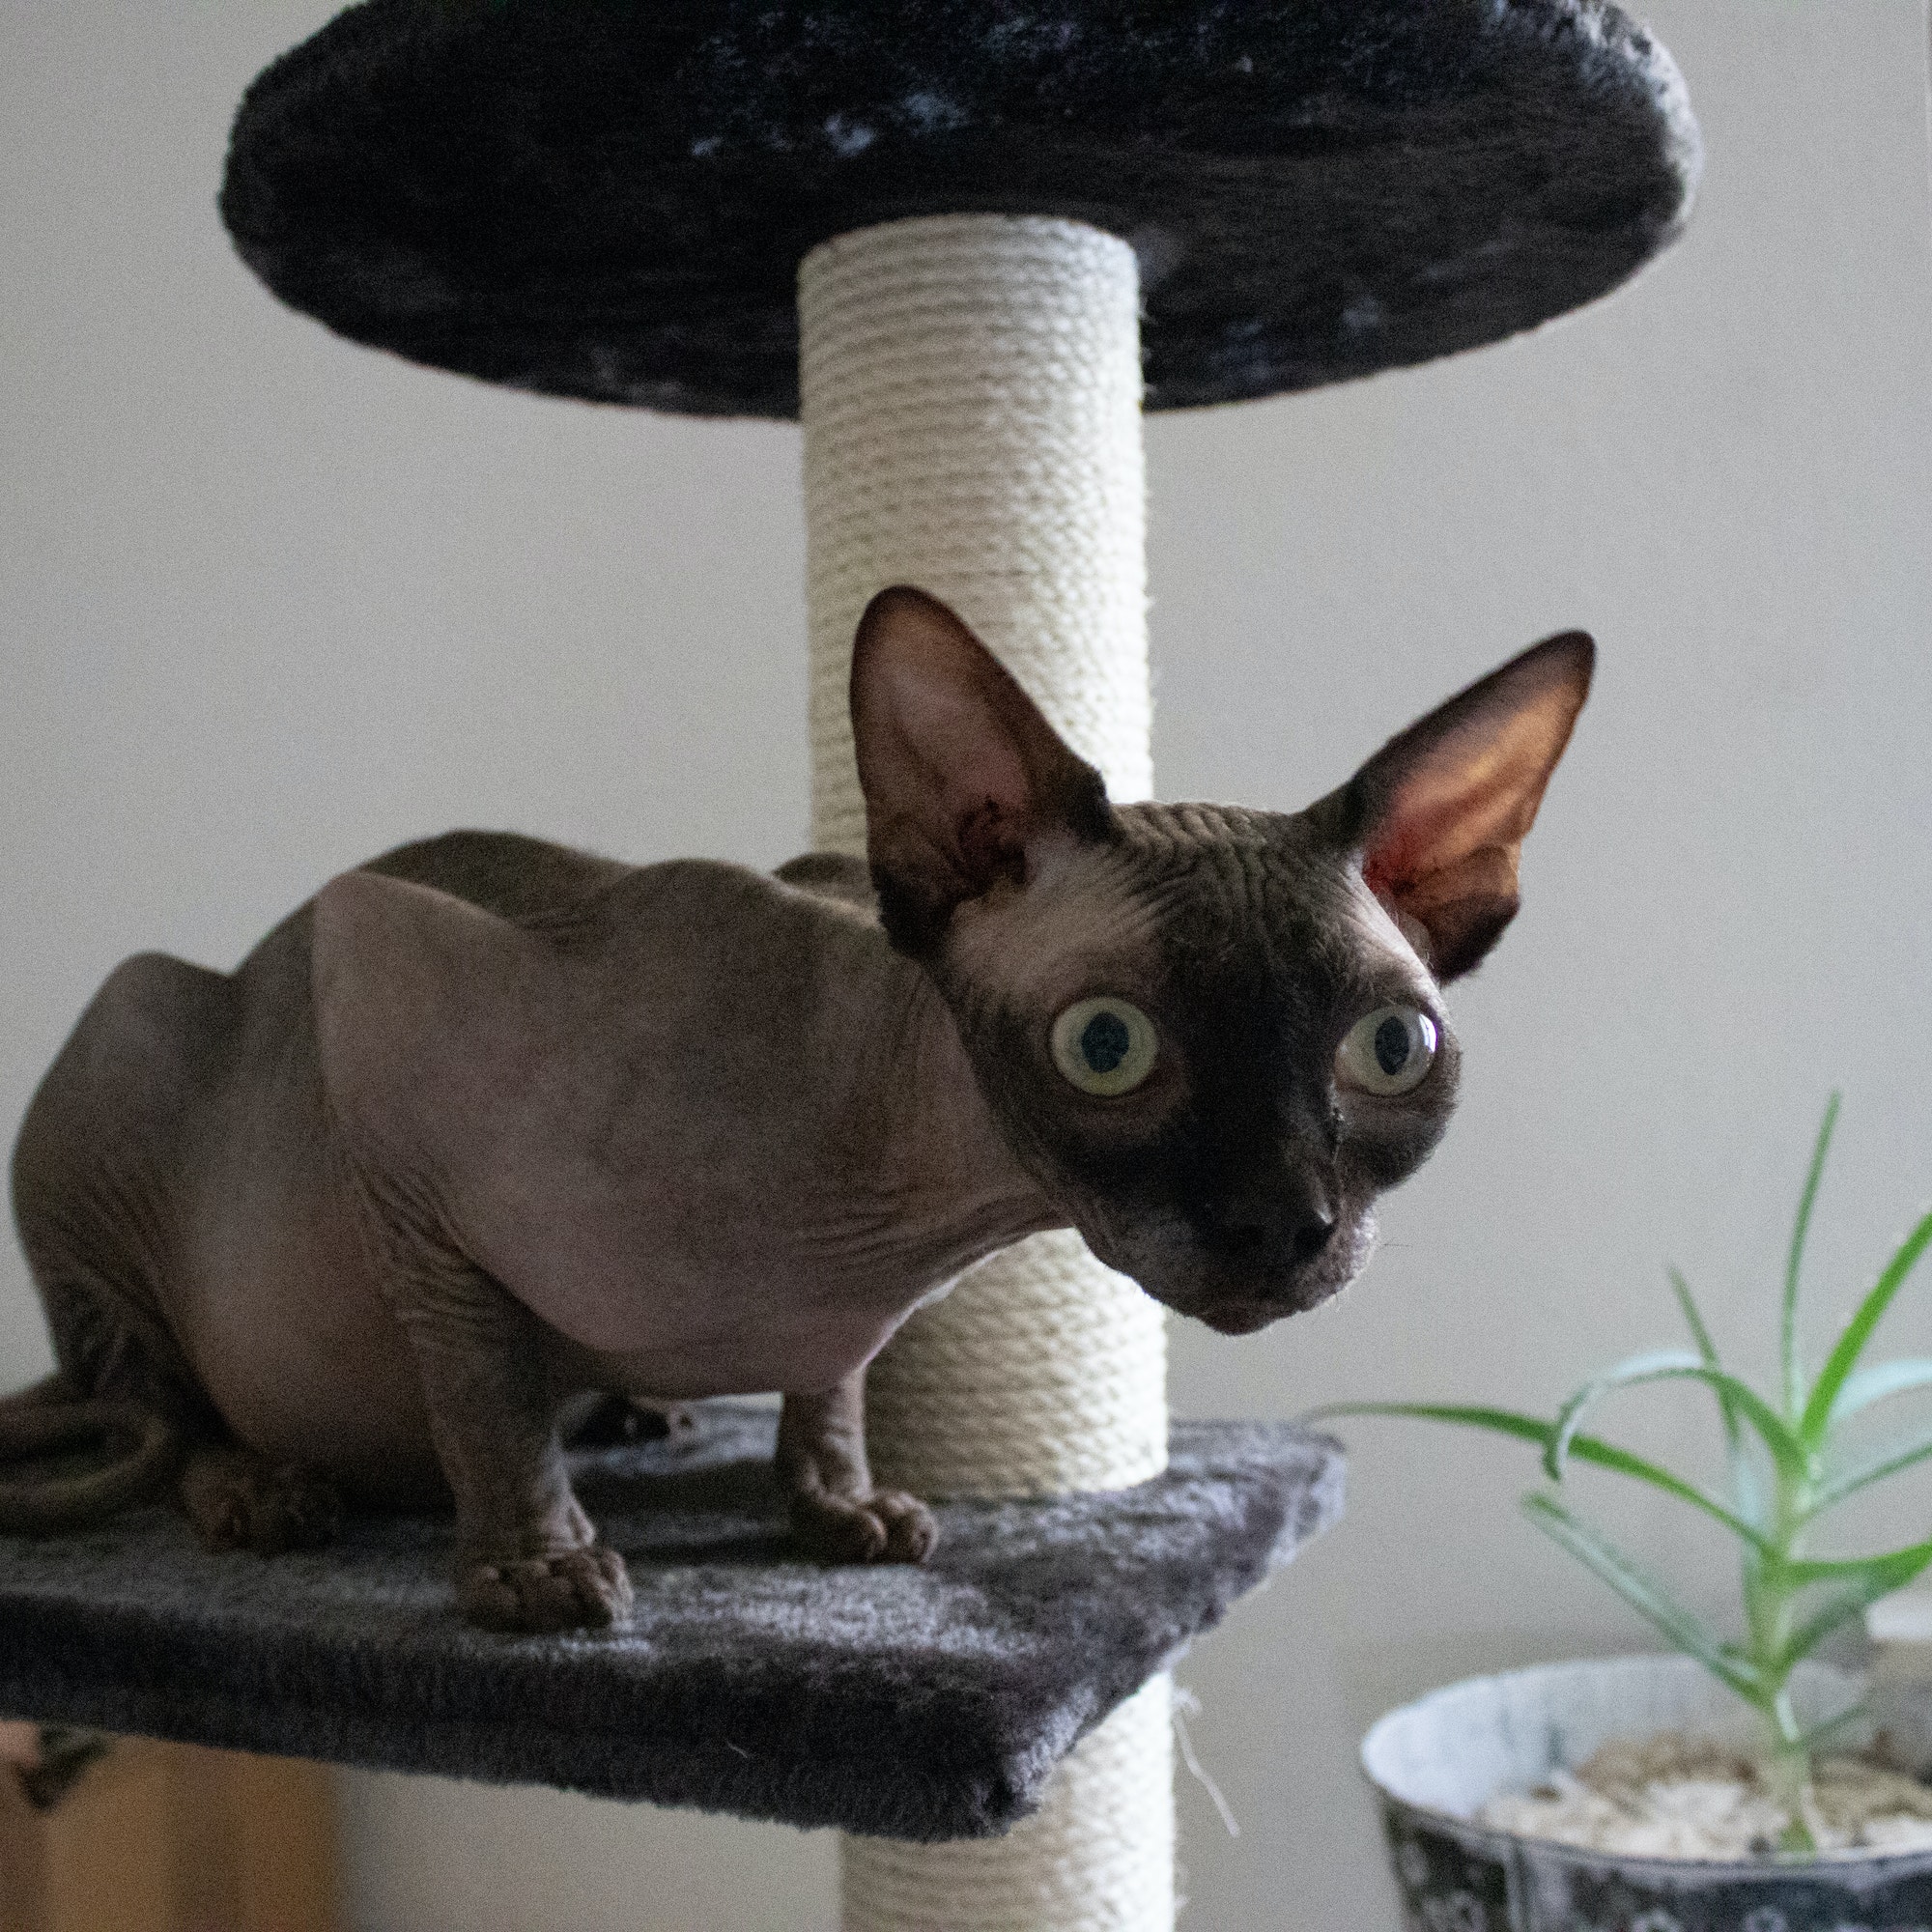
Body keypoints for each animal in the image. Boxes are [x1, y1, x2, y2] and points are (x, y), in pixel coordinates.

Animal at [7, 587, 1592, 1631]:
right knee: (152, 1395)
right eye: (1107, 1045)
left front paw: (839, 1505)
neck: (901, 1219)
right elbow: (484, 1392)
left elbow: (829, 1383)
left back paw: (632, 1411)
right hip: (129, 1036)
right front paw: (533, 1564)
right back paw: (259, 1489)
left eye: (1391, 1048)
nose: (1282, 1224)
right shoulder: (379, 1002)